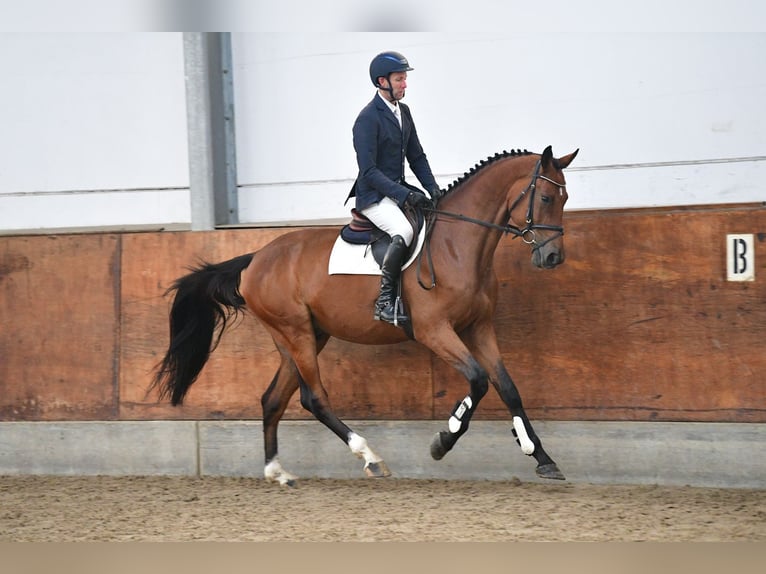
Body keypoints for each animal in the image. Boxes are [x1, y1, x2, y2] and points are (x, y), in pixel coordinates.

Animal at [153, 146, 580, 488]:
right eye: (545, 196)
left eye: (565, 197)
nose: (552, 257)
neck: (458, 247)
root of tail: (255, 259)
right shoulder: (434, 330)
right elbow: (477, 381)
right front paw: (443, 440)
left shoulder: (479, 328)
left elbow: (508, 387)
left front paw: (542, 458)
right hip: (296, 333)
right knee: (315, 398)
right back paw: (370, 457)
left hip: (302, 336)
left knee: (273, 399)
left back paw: (278, 473)